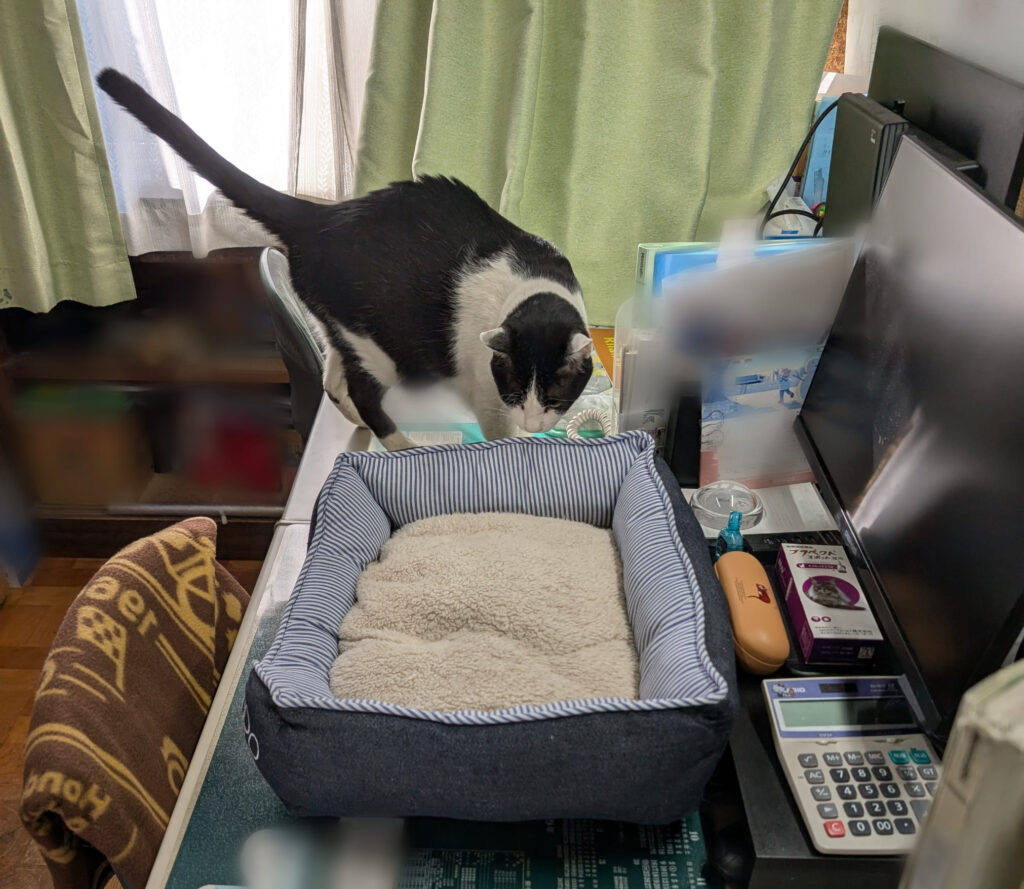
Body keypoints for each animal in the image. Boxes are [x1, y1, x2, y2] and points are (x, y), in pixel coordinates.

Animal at [96, 69, 593, 450]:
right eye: (515, 391)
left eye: (554, 397)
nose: (531, 421)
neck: (532, 286)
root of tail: (322, 217)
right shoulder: (484, 388)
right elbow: (496, 430)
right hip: (379, 343)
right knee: (362, 391)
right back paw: (398, 442)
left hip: (343, 329)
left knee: (332, 378)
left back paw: (354, 419)